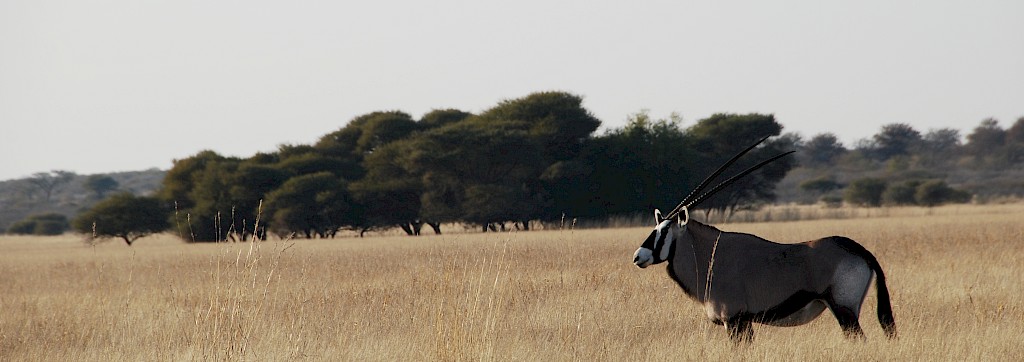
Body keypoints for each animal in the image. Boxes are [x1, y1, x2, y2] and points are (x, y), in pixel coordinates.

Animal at [630, 137, 897, 343]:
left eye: (664, 230)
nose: (638, 257)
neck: (709, 255)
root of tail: (862, 252)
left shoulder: (734, 320)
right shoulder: (744, 322)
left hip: (844, 310)